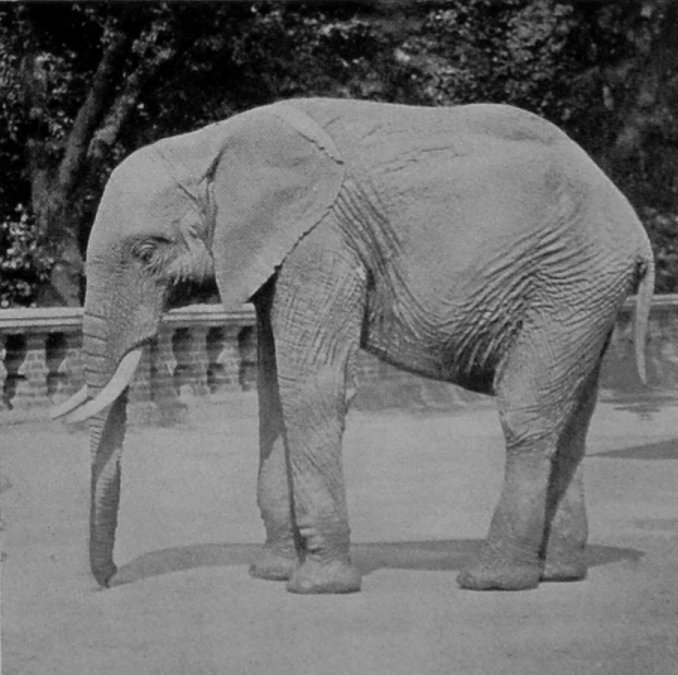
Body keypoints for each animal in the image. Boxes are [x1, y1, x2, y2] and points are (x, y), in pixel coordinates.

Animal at [53, 97, 654, 594]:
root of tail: (634, 225)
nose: (109, 580)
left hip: (571, 281)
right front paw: (272, 573)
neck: (212, 142)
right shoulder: (279, 257)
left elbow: (310, 389)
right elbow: (274, 392)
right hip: (580, 294)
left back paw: (492, 579)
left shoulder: (321, 241)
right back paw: (558, 573)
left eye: (146, 251)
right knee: (570, 417)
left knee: (527, 412)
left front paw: (315, 586)